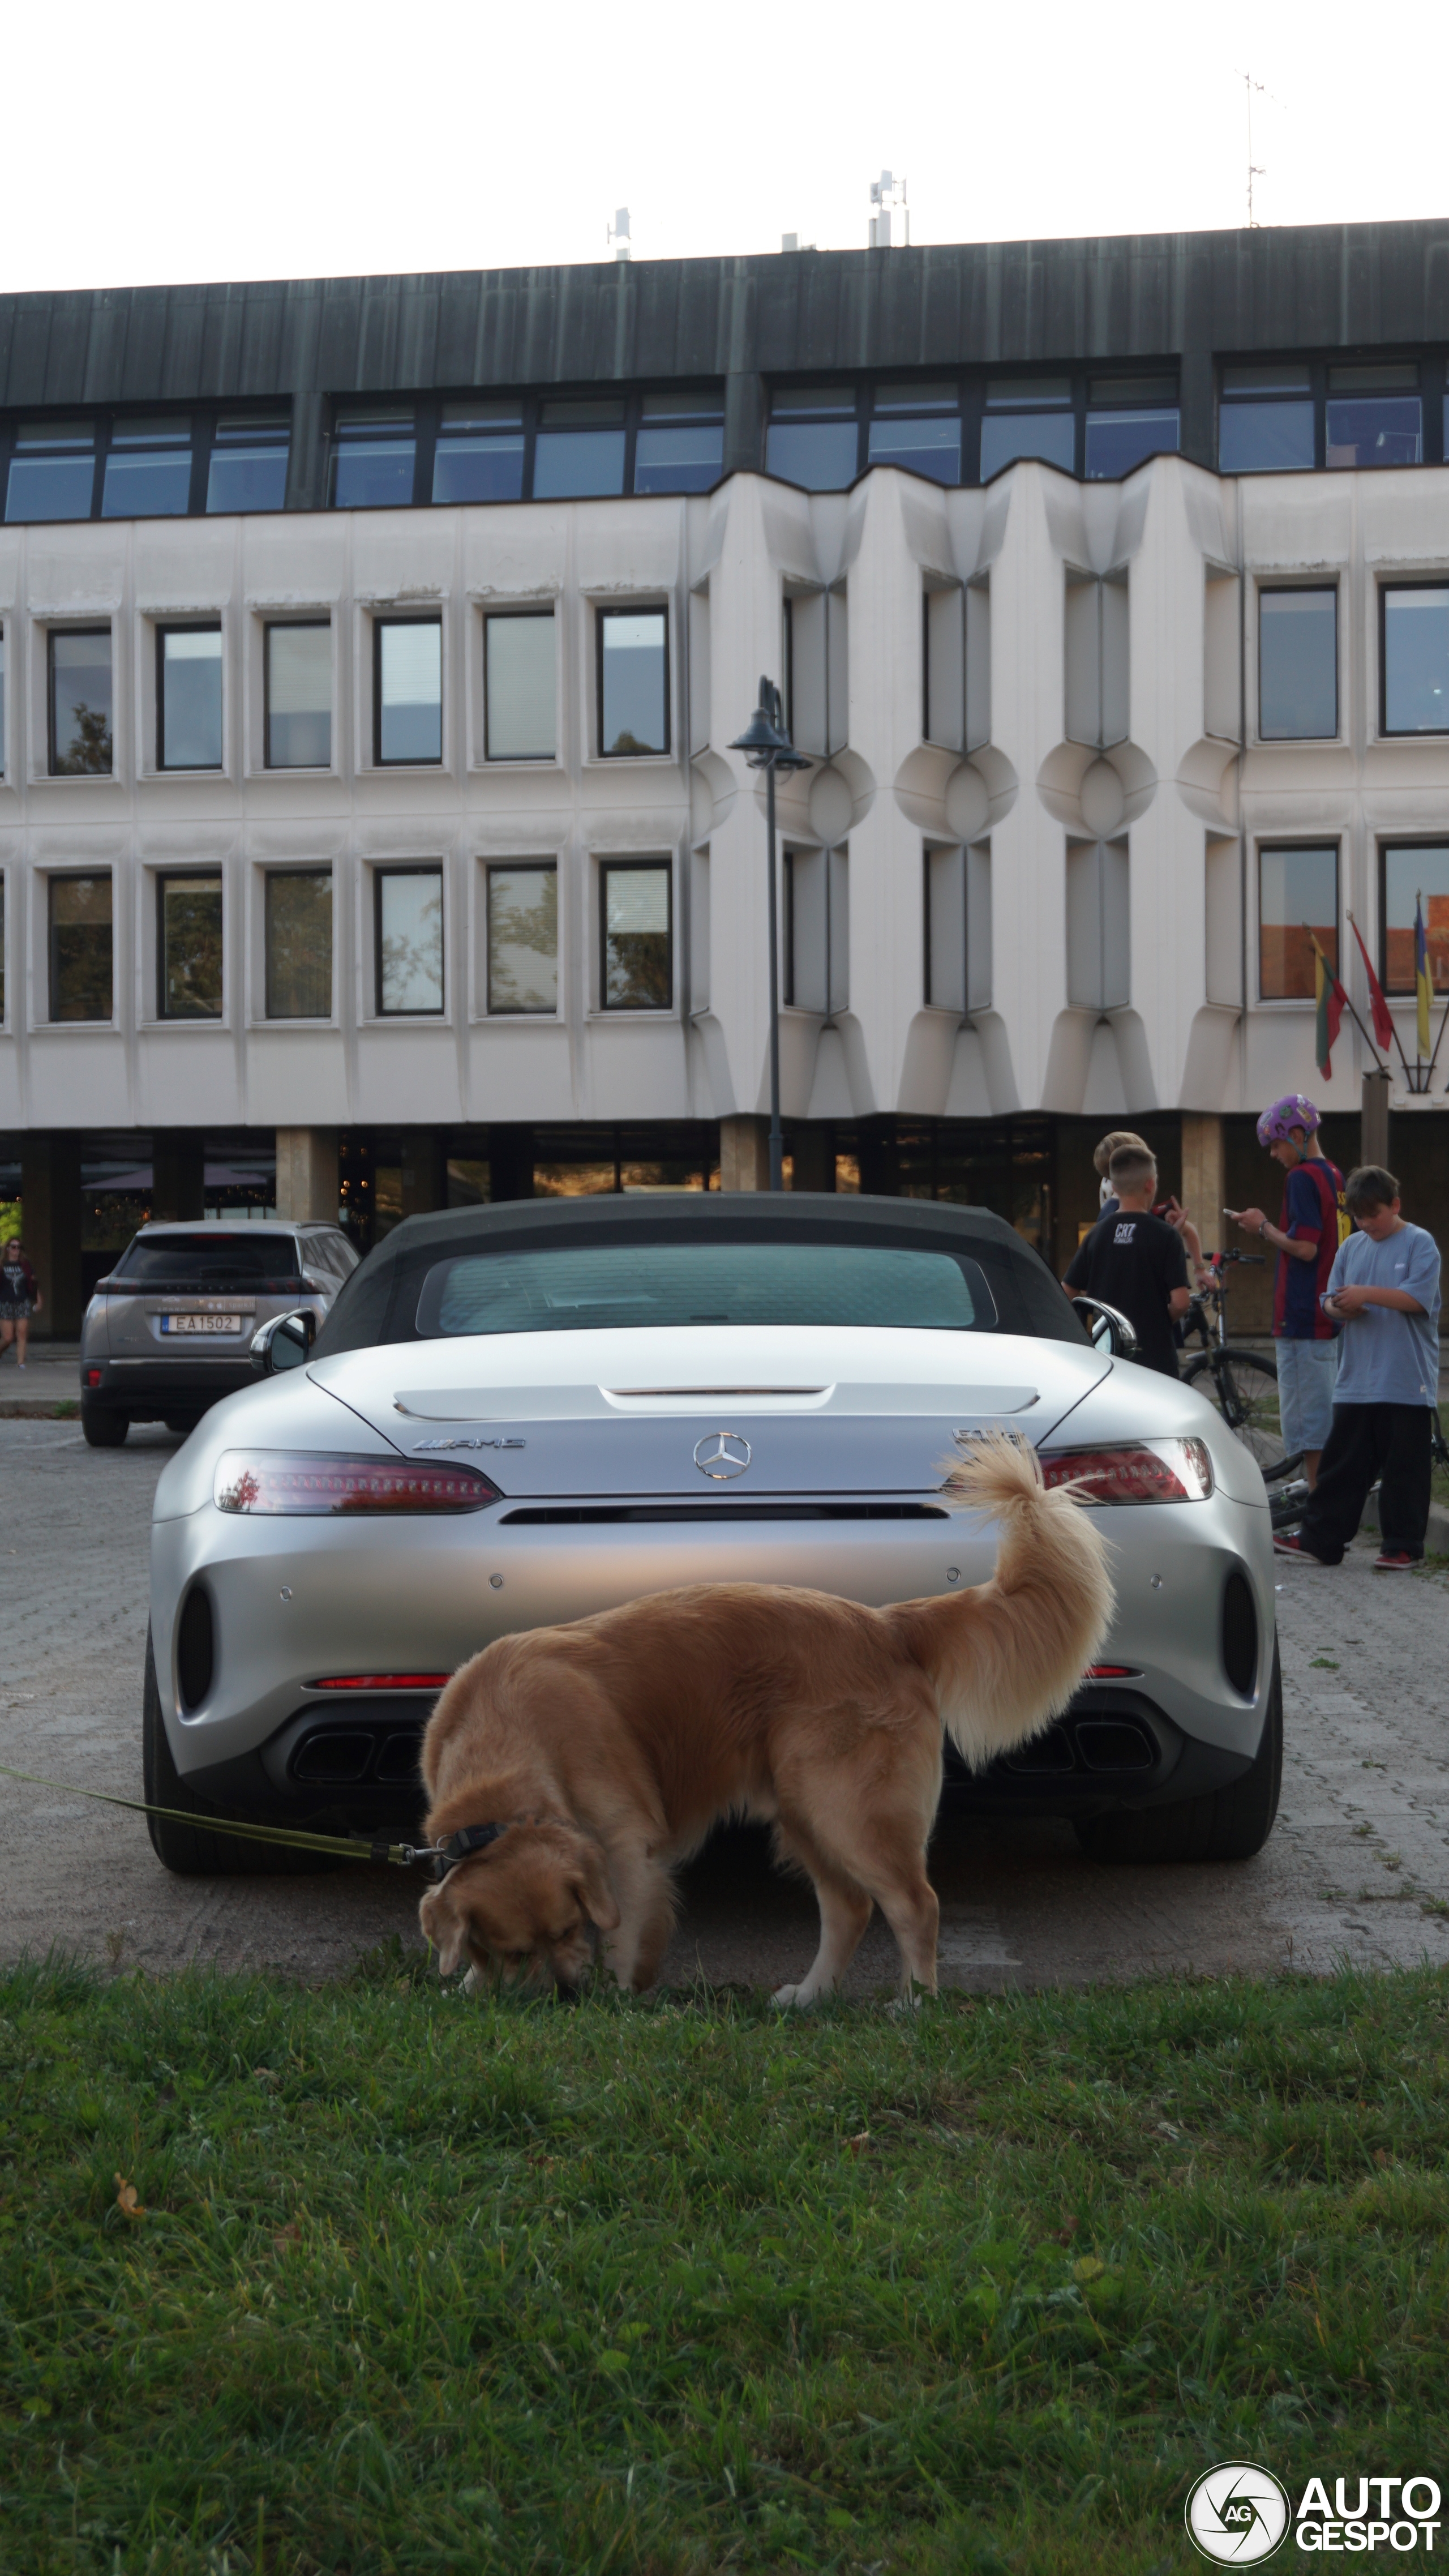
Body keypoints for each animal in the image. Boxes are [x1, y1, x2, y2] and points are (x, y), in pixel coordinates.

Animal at [414, 1432, 1117, 2009]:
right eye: (514, 1949)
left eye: (565, 1929)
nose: (564, 1996)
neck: (505, 1732)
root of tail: (886, 1622)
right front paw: (470, 1984)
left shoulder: (627, 1842)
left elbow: (627, 1928)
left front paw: (617, 2000)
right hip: (803, 1804)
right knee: (850, 1906)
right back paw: (810, 1996)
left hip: (846, 1804)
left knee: (915, 1903)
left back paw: (914, 2002)